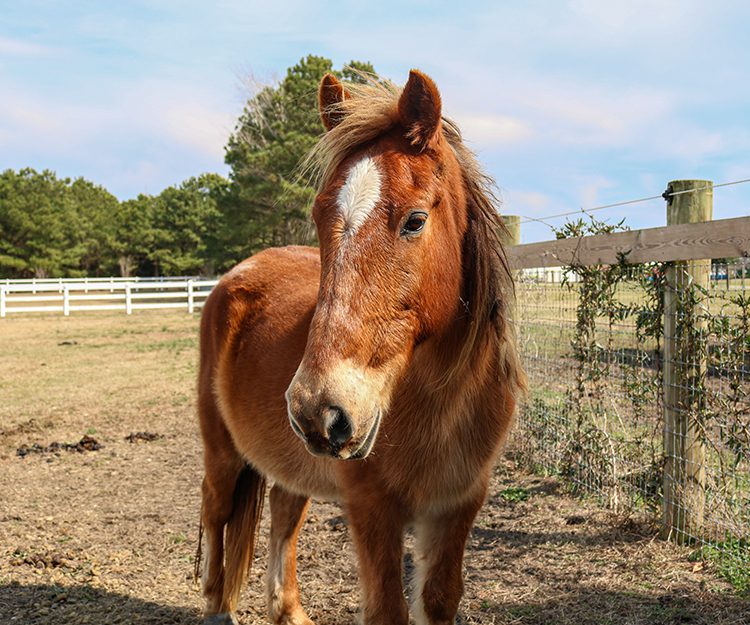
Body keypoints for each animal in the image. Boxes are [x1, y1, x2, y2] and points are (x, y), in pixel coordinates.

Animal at [200, 69, 528, 624]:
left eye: (415, 220)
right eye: (317, 217)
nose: (320, 409)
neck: (439, 406)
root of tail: (237, 274)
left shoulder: (457, 505)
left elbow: (439, 599)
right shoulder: (372, 508)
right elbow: (387, 610)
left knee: (283, 517)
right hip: (222, 450)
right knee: (216, 510)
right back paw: (217, 607)